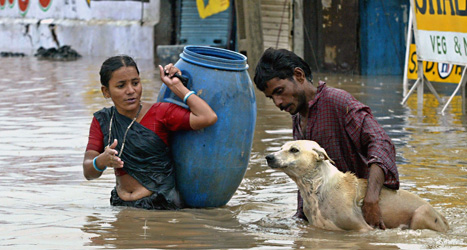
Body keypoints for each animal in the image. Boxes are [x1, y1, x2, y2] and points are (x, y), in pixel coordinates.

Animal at [266, 141, 450, 232]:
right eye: (281, 148)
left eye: (294, 150)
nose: (268, 157)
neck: (318, 186)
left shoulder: (363, 229)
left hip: (421, 213)